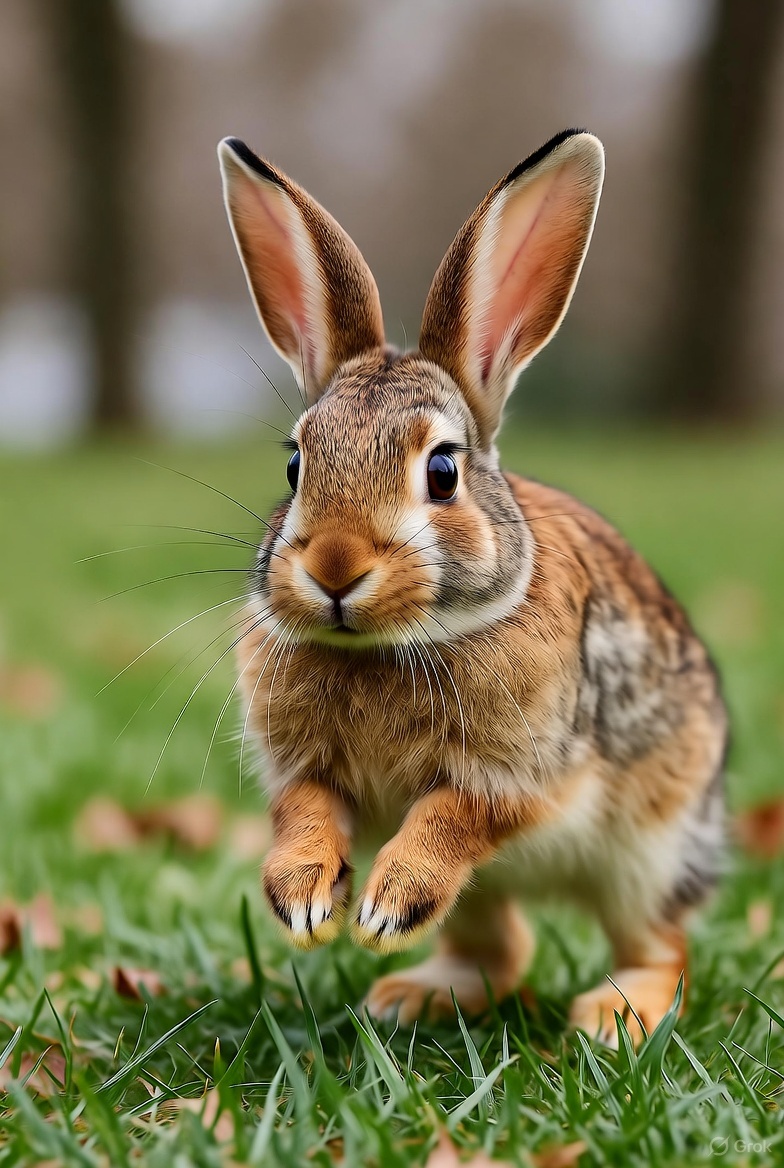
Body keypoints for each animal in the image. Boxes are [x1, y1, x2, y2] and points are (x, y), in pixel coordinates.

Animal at [217, 129, 727, 1046]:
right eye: (296, 463)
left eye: (443, 472)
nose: (335, 567)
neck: (386, 646)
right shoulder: (305, 769)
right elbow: (305, 810)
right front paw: (306, 899)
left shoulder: (524, 772)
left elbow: (458, 815)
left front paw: (383, 903)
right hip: (492, 899)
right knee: (500, 949)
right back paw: (409, 995)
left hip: (650, 856)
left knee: (664, 949)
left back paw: (613, 1017)